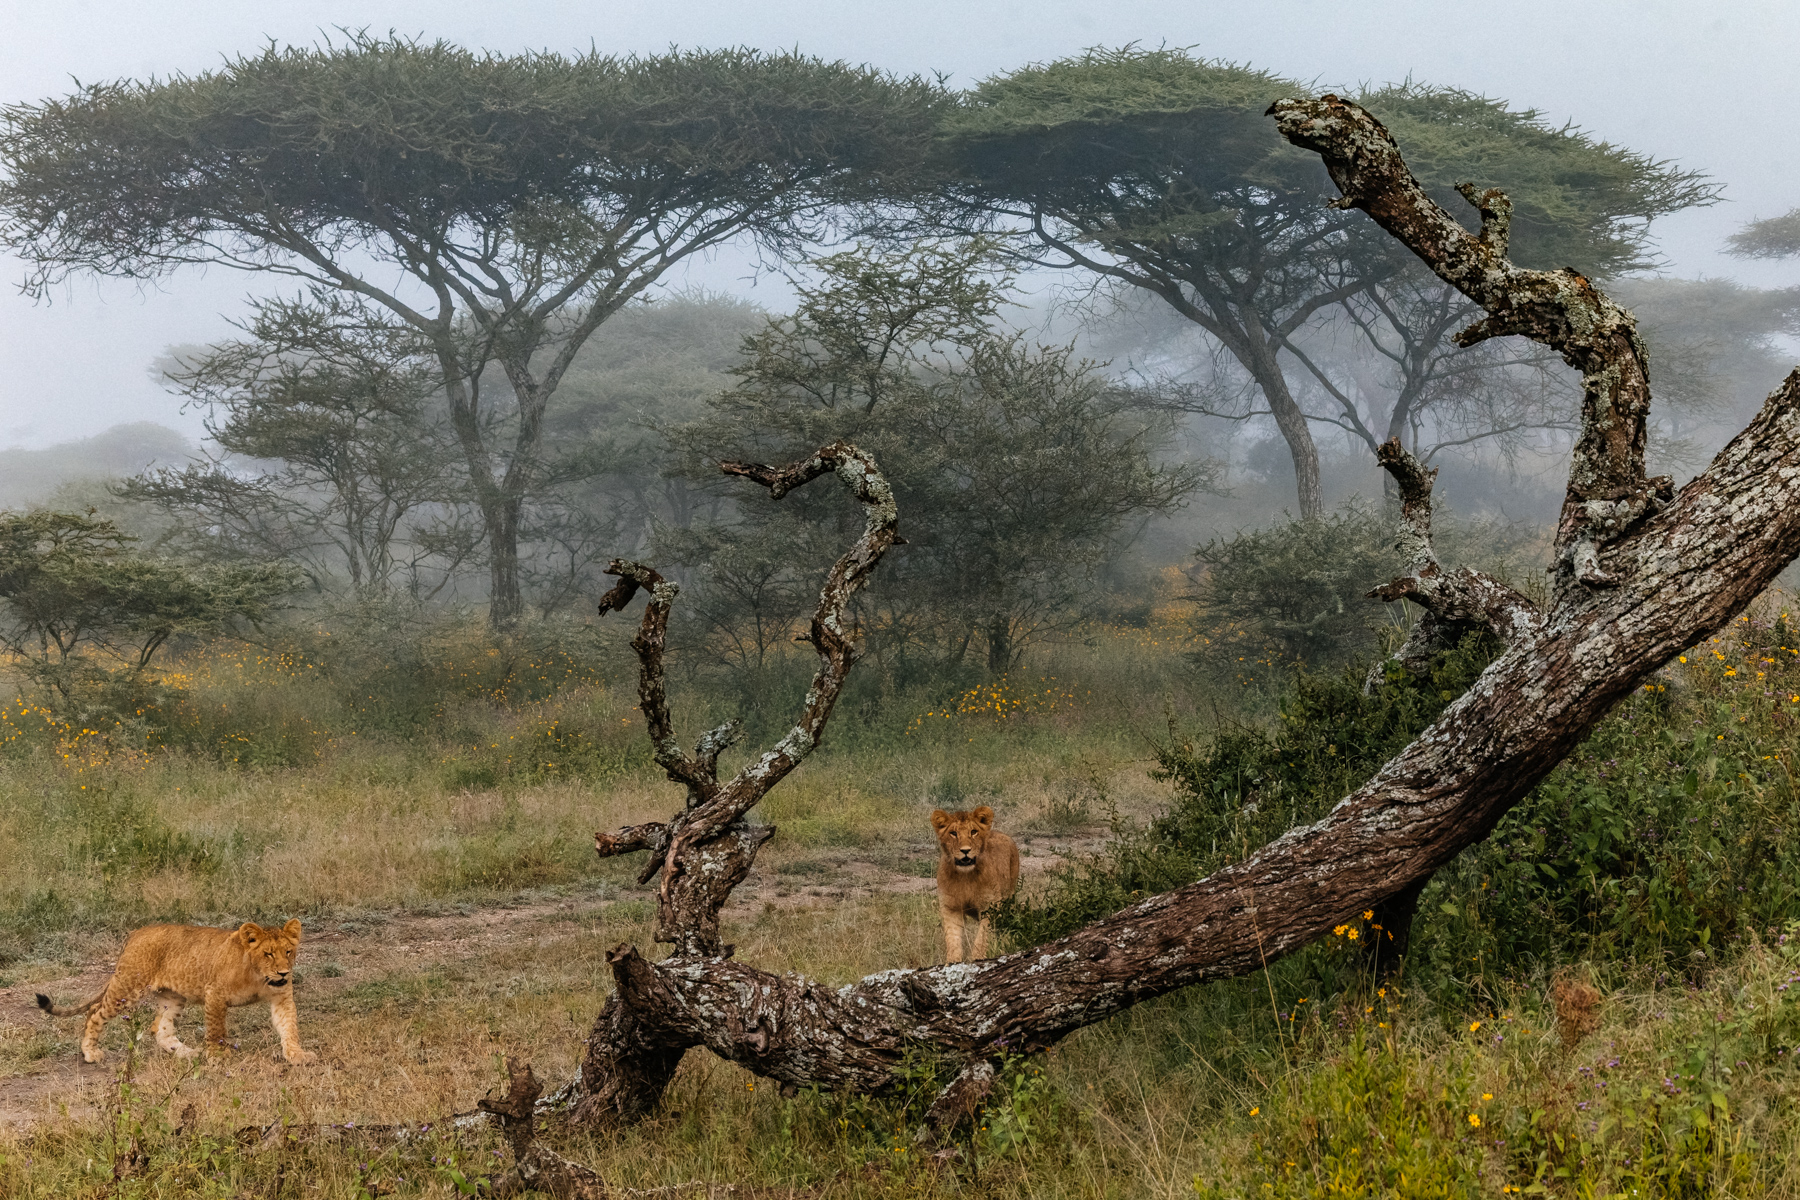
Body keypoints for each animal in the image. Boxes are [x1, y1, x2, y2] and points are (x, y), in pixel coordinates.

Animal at [36, 919, 316, 1065]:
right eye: (268, 954)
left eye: (288, 952)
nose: (283, 973)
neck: (259, 977)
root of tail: (136, 932)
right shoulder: (215, 994)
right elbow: (217, 1030)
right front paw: (217, 1055)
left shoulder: (281, 998)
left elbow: (289, 1027)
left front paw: (297, 1054)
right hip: (128, 988)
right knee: (95, 1012)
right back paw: (91, 1053)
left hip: (173, 997)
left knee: (160, 1029)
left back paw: (188, 1053)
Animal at [931, 806, 1021, 963]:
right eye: (953, 833)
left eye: (973, 832)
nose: (965, 850)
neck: (965, 876)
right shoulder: (950, 908)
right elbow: (953, 940)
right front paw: (952, 962)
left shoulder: (990, 906)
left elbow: (981, 938)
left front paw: (978, 958)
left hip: (1009, 896)